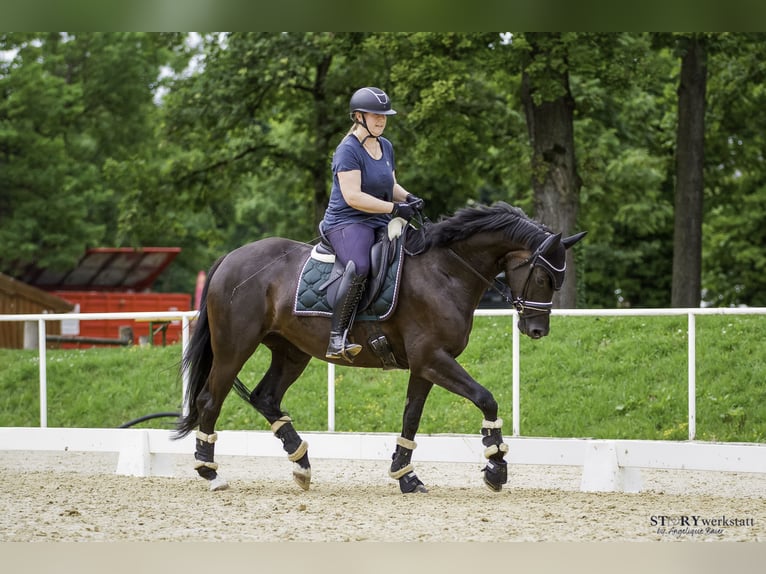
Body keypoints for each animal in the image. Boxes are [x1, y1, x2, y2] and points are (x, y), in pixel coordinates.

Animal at [176, 204, 588, 496]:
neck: (446, 271)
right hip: (235, 347)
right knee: (210, 401)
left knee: (266, 397)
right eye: (543, 276)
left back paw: (301, 464)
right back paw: (210, 472)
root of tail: (231, 257)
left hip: (292, 351)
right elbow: (486, 399)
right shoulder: (433, 359)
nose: (536, 330)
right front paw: (496, 468)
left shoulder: (425, 365)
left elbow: (411, 417)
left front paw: (405, 475)